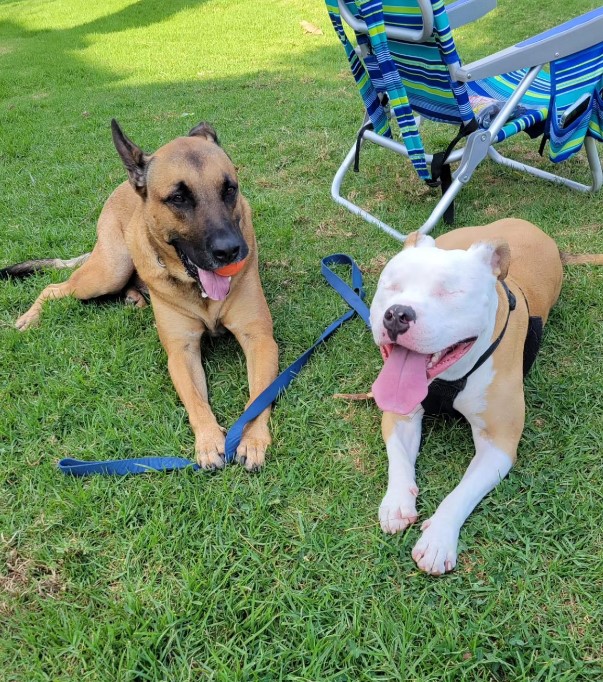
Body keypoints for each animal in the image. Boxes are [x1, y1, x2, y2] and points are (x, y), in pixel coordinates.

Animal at [1, 122, 280, 470]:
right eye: (178, 198)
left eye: (229, 189)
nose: (230, 251)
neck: (199, 292)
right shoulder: (181, 352)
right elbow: (196, 401)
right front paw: (208, 441)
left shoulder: (259, 339)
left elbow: (259, 397)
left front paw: (252, 438)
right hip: (110, 269)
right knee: (54, 288)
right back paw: (30, 317)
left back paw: (134, 298)